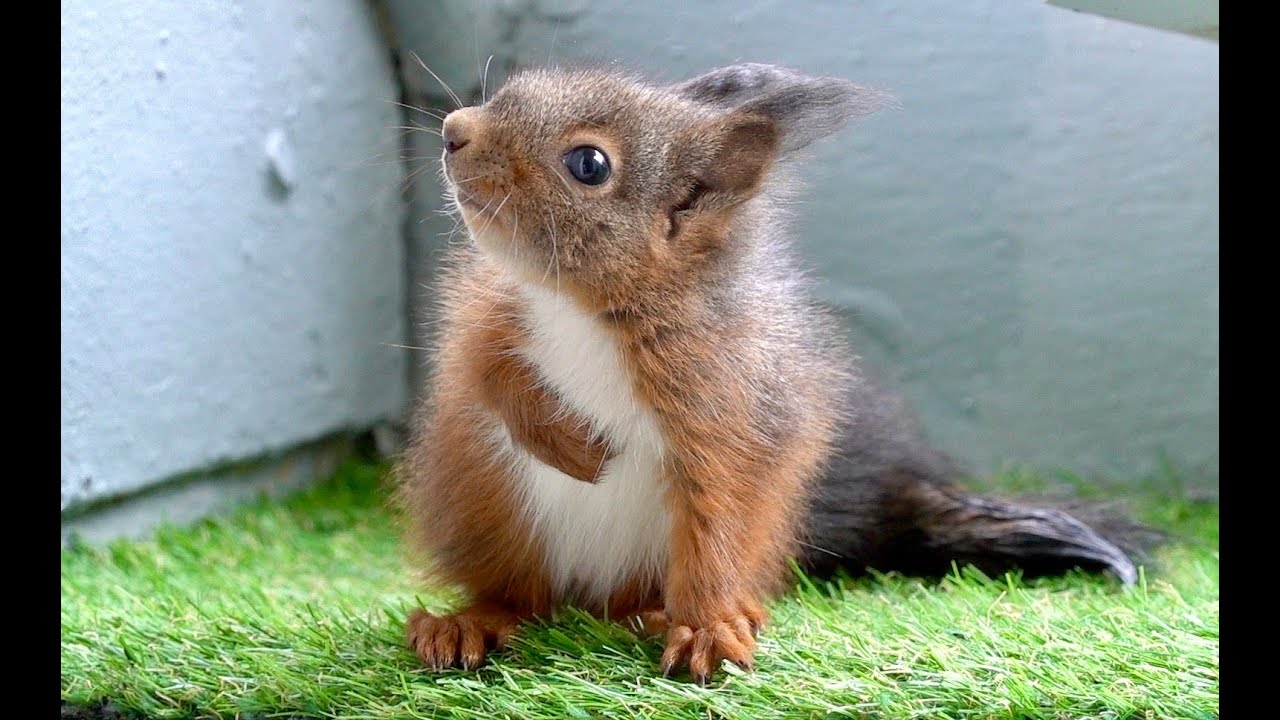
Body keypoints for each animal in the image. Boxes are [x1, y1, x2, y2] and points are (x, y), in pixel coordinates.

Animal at [396, 63, 1157, 684]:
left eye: (588, 163)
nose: (456, 131)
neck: (584, 308)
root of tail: (591, 595)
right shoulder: (487, 312)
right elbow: (478, 370)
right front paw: (559, 440)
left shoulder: (731, 394)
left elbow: (721, 510)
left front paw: (708, 629)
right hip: (492, 516)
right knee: (519, 596)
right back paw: (471, 621)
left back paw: (664, 613)